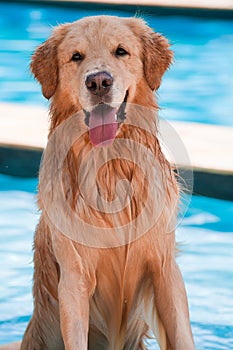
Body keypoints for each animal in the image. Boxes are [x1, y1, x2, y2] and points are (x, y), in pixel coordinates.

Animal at [2, 15, 197, 348]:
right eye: (76, 56)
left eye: (121, 51)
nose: (98, 82)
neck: (110, 168)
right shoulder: (75, 276)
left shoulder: (164, 269)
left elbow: (183, 335)